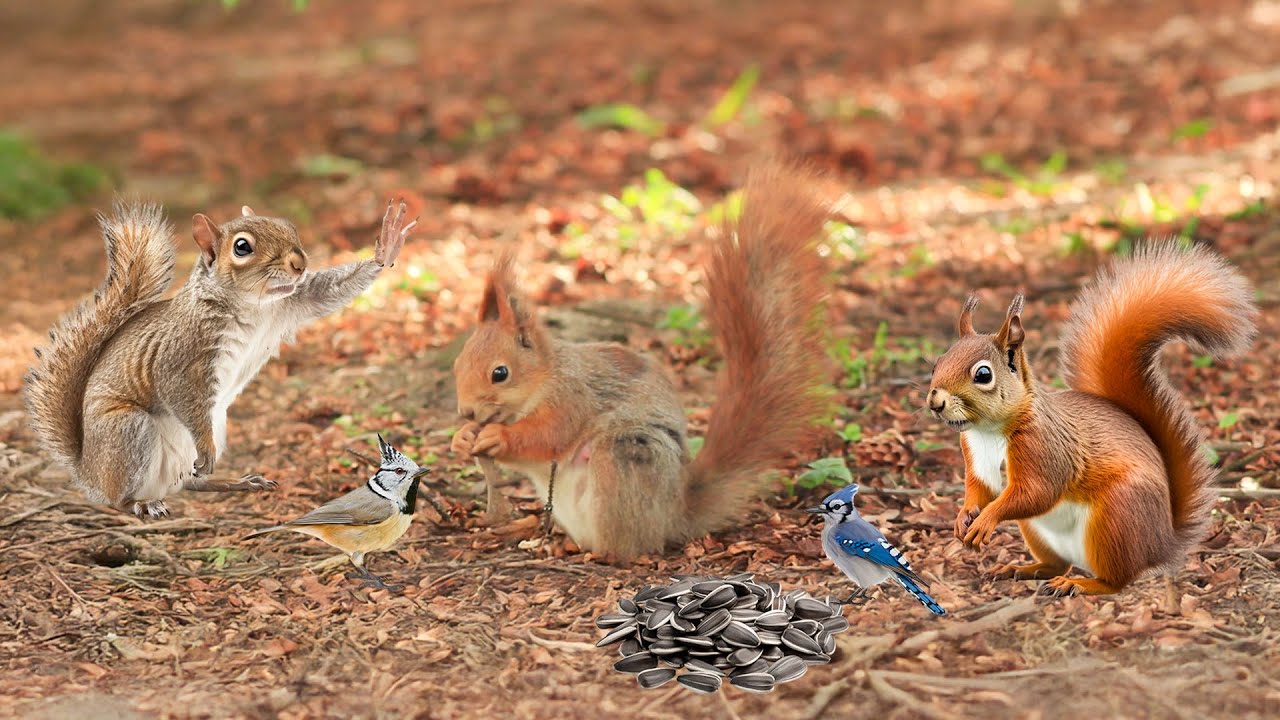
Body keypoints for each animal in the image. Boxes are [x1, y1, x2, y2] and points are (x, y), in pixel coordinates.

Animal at [23, 199, 416, 518]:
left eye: (288, 226)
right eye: (242, 247)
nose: (299, 262)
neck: (251, 305)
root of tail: (88, 471)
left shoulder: (292, 303)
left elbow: (328, 291)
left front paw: (386, 247)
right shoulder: (180, 356)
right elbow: (178, 390)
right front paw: (206, 449)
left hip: (217, 422)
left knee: (189, 482)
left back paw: (237, 482)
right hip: (128, 429)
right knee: (120, 497)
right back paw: (141, 503)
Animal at [449, 166, 831, 559]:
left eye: (500, 373)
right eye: (457, 364)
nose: (466, 412)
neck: (543, 380)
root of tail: (674, 515)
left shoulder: (572, 398)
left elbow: (548, 435)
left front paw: (496, 436)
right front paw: (462, 439)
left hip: (625, 456)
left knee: (628, 544)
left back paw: (601, 552)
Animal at [927, 242, 1257, 596]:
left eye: (983, 374)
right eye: (937, 362)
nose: (935, 401)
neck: (989, 430)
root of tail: (1161, 543)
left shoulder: (1045, 448)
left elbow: (1036, 492)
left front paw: (986, 519)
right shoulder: (974, 451)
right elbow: (981, 488)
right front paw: (964, 516)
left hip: (1115, 517)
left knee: (1117, 580)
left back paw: (1082, 584)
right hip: (1041, 532)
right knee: (1056, 563)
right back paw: (1023, 568)